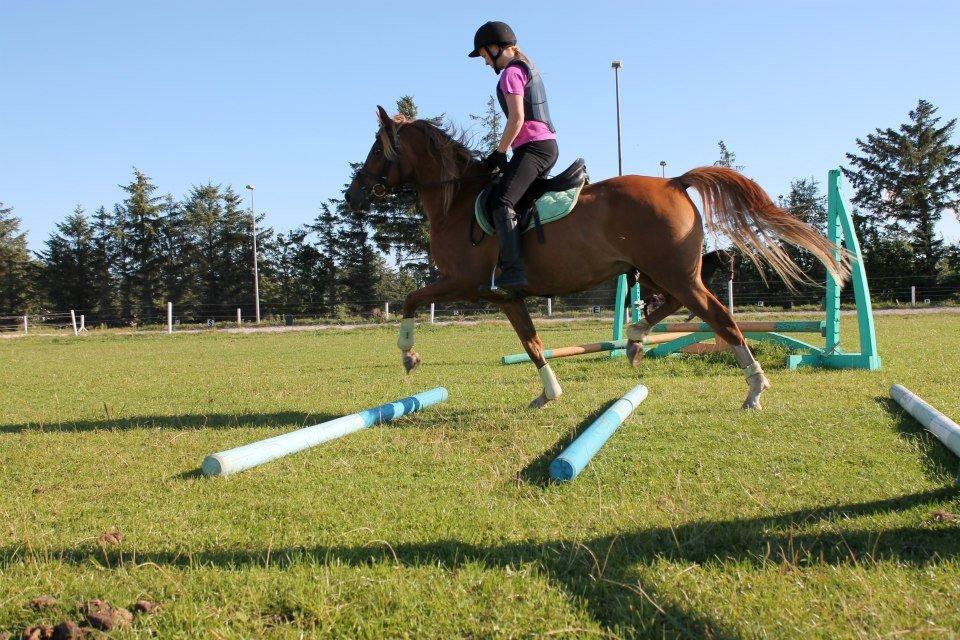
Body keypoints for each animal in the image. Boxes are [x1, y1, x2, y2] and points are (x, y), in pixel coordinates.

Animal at [344, 108, 848, 410]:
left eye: (376, 149)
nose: (353, 195)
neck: (457, 201)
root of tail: (673, 181)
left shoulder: (462, 282)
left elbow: (411, 299)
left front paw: (409, 354)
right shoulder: (507, 297)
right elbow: (532, 342)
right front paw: (549, 393)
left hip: (674, 273)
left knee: (719, 316)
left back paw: (755, 388)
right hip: (659, 272)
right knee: (673, 305)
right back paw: (636, 340)